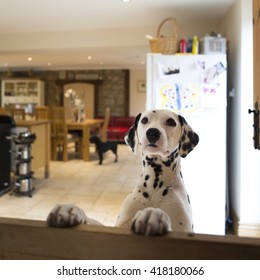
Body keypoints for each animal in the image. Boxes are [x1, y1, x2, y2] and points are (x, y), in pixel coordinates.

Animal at [47, 109, 199, 236]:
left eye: (170, 122)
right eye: (145, 120)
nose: (152, 132)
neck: (155, 184)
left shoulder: (183, 230)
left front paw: (154, 215)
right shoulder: (119, 227)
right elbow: (95, 222)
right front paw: (71, 211)